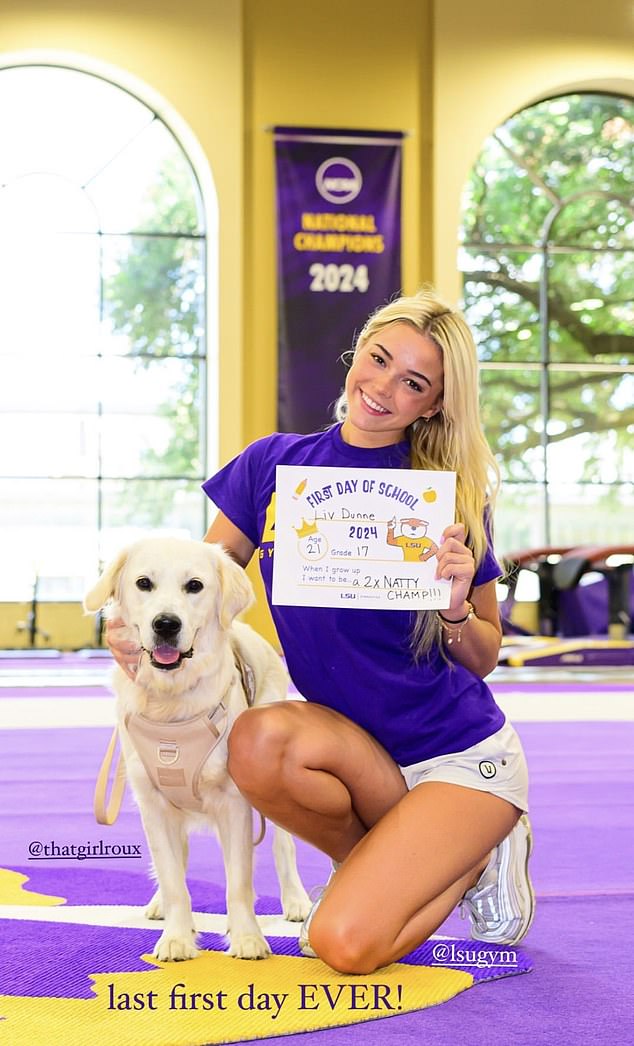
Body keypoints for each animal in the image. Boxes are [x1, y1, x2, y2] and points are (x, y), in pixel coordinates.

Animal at [83, 539, 311, 962]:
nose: (166, 624)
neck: (171, 703)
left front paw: (247, 938)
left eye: (194, 586)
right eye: (143, 583)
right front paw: (176, 937)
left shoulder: (234, 802)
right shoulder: (154, 802)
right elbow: (174, 878)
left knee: (284, 846)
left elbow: (238, 882)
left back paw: (297, 901)